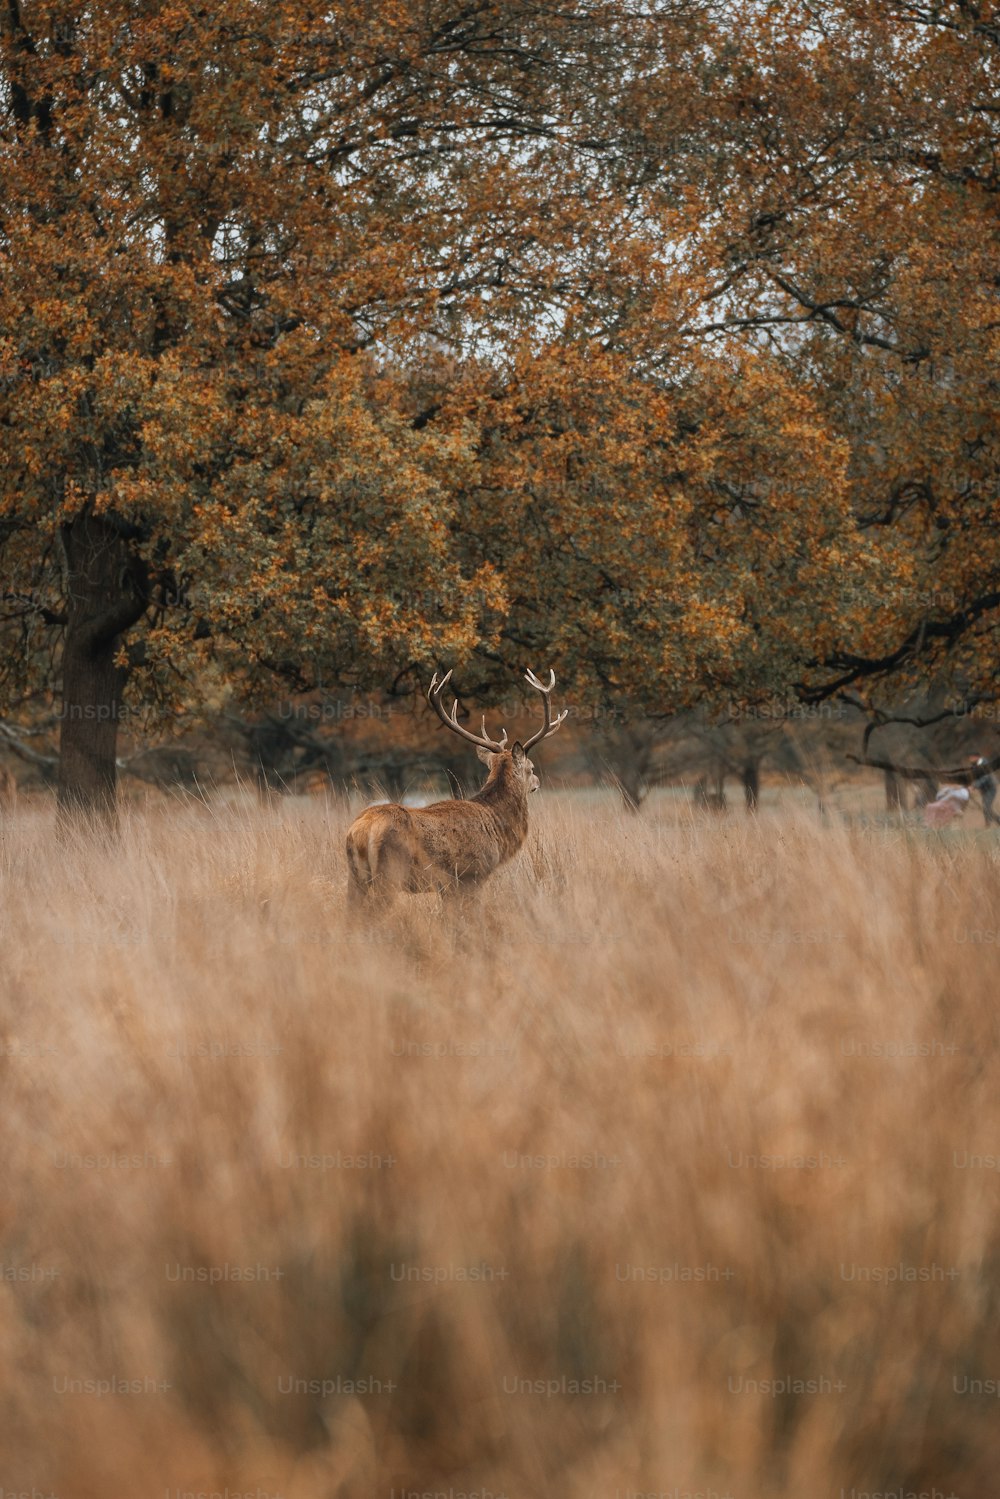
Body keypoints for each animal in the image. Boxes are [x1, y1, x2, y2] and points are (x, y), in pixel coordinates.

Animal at [344, 671, 566, 911]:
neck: (497, 827)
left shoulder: (447, 887)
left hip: (354, 877)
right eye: (531, 767)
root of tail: (361, 830)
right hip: (390, 872)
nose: (537, 781)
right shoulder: (472, 875)